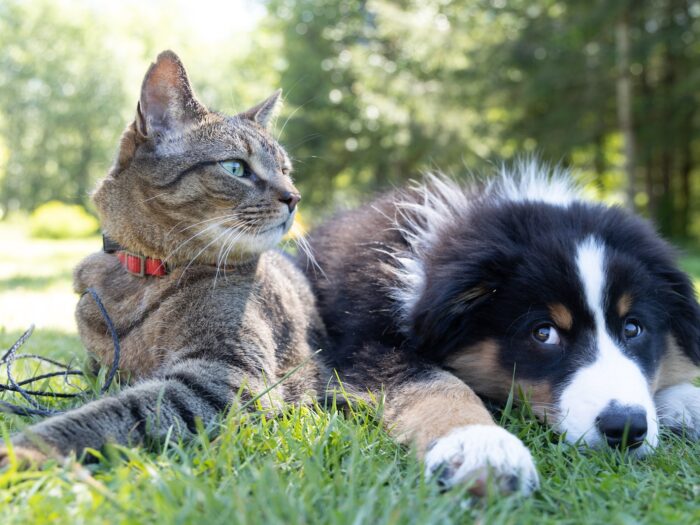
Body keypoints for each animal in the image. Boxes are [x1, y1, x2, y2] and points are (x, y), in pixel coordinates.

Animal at [0, 51, 328, 464]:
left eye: (286, 171)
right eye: (235, 167)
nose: (294, 197)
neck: (143, 276)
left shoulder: (226, 376)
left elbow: (114, 411)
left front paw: (26, 449)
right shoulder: (97, 367)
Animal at [302, 161, 700, 496]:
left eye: (633, 328)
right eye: (544, 333)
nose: (626, 427)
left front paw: (687, 401)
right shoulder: (364, 346)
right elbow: (435, 383)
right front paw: (480, 445)